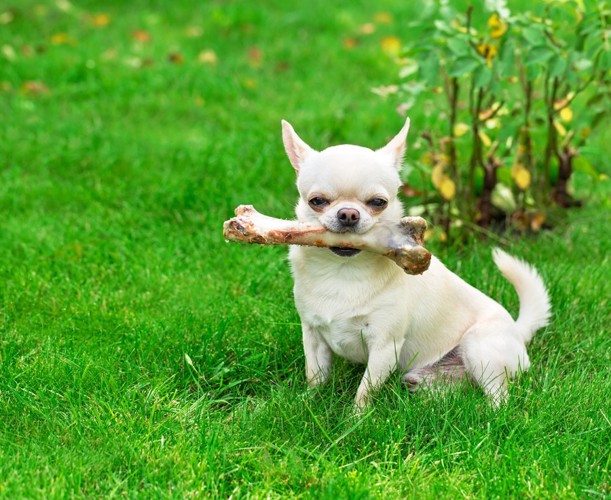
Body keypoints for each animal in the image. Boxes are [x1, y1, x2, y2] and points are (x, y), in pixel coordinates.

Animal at [282, 118, 556, 410]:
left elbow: (365, 390)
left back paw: (490, 413)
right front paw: (306, 403)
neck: (343, 271)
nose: (348, 214)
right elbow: (315, 376)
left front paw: (356, 417)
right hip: (429, 376)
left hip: (479, 346)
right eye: (317, 201)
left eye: (378, 202)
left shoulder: (384, 345)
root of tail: (518, 333)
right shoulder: (313, 335)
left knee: (499, 396)